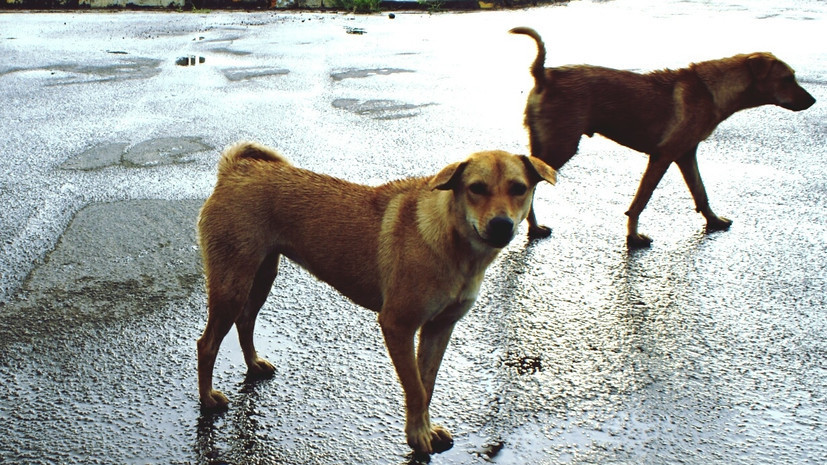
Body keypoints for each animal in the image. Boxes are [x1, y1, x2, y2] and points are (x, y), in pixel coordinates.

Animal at [195, 141, 556, 454]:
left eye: (519, 188)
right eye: (476, 188)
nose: (501, 225)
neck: (451, 239)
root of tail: (235, 170)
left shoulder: (439, 328)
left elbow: (427, 384)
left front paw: (425, 429)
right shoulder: (397, 326)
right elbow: (415, 388)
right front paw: (417, 436)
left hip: (261, 276)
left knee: (245, 321)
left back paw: (254, 364)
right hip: (232, 286)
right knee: (206, 344)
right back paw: (208, 399)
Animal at [512, 25, 816, 246]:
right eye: (787, 78)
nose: (813, 101)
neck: (711, 89)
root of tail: (544, 74)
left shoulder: (686, 155)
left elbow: (701, 192)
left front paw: (714, 221)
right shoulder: (662, 156)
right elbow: (639, 202)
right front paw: (633, 236)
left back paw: (530, 226)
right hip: (560, 147)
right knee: (530, 182)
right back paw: (530, 227)